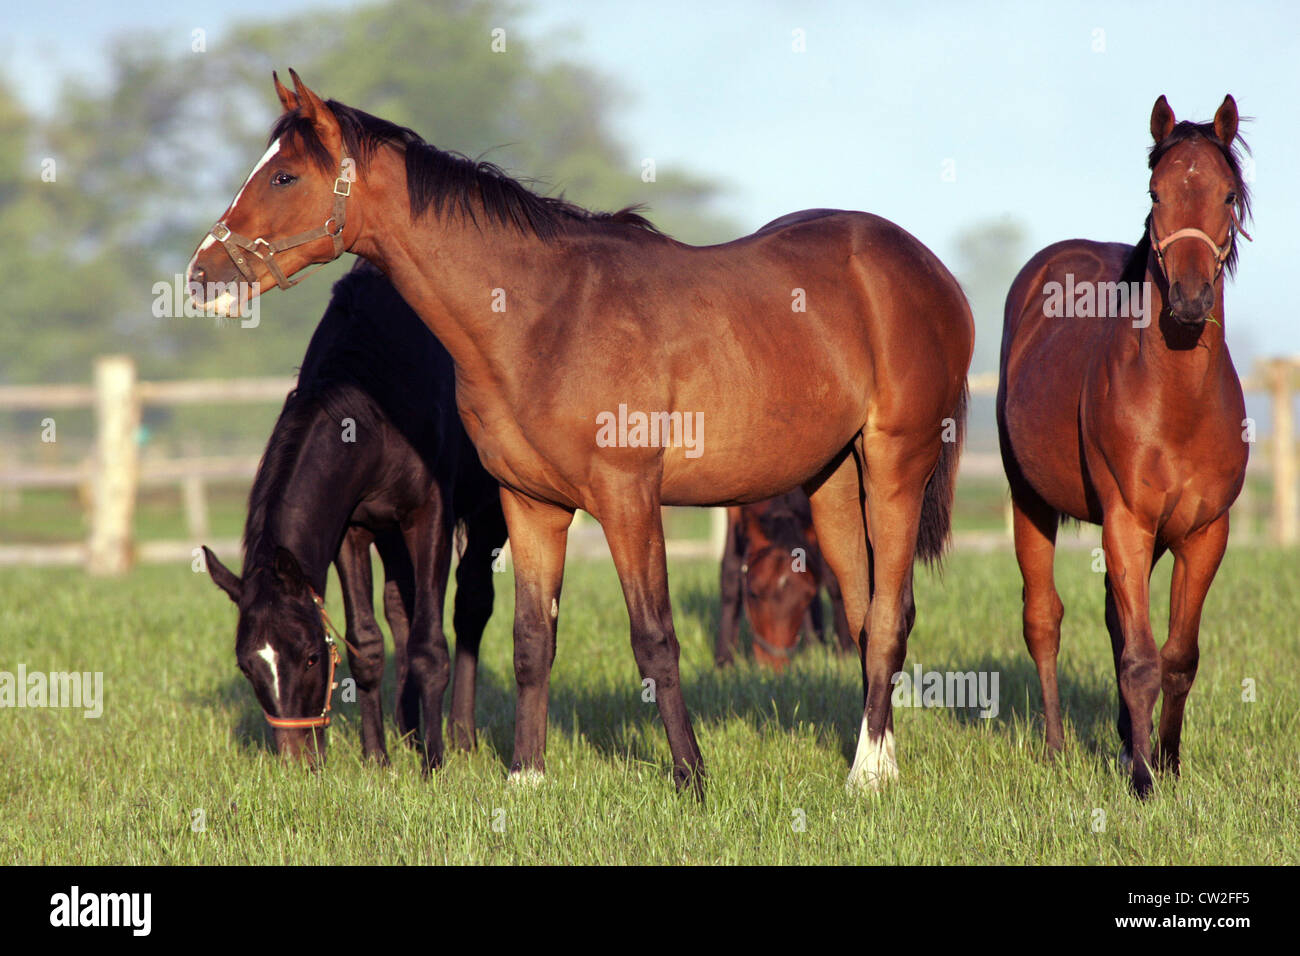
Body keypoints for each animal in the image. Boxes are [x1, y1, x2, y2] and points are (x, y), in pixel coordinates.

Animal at [202, 260, 506, 770]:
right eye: (246, 665)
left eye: (309, 656)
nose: (298, 761)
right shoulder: (352, 527)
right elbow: (366, 643)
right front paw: (378, 759)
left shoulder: (430, 514)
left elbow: (430, 645)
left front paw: (435, 765)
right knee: (402, 603)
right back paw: (410, 731)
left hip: (492, 510)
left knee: (472, 603)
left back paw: (461, 735)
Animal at [712, 494, 852, 671]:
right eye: (753, 593)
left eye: (806, 596)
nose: (774, 666)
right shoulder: (734, 511)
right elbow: (730, 576)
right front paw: (723, 662)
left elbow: (836, 579)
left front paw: (844, 655)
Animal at [998, 95, 1253, 801]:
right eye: (1155, 192)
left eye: (1227, 195)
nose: (1190, 301)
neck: (1179, 407)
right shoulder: (1127, 521)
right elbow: (1140, 658)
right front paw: (1142, 781)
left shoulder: (1204, 534)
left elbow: (1176, 656)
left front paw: (1164, 759)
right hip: (1030, 502)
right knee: (1044, 619)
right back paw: (1058, 747)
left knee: (1115, 621)